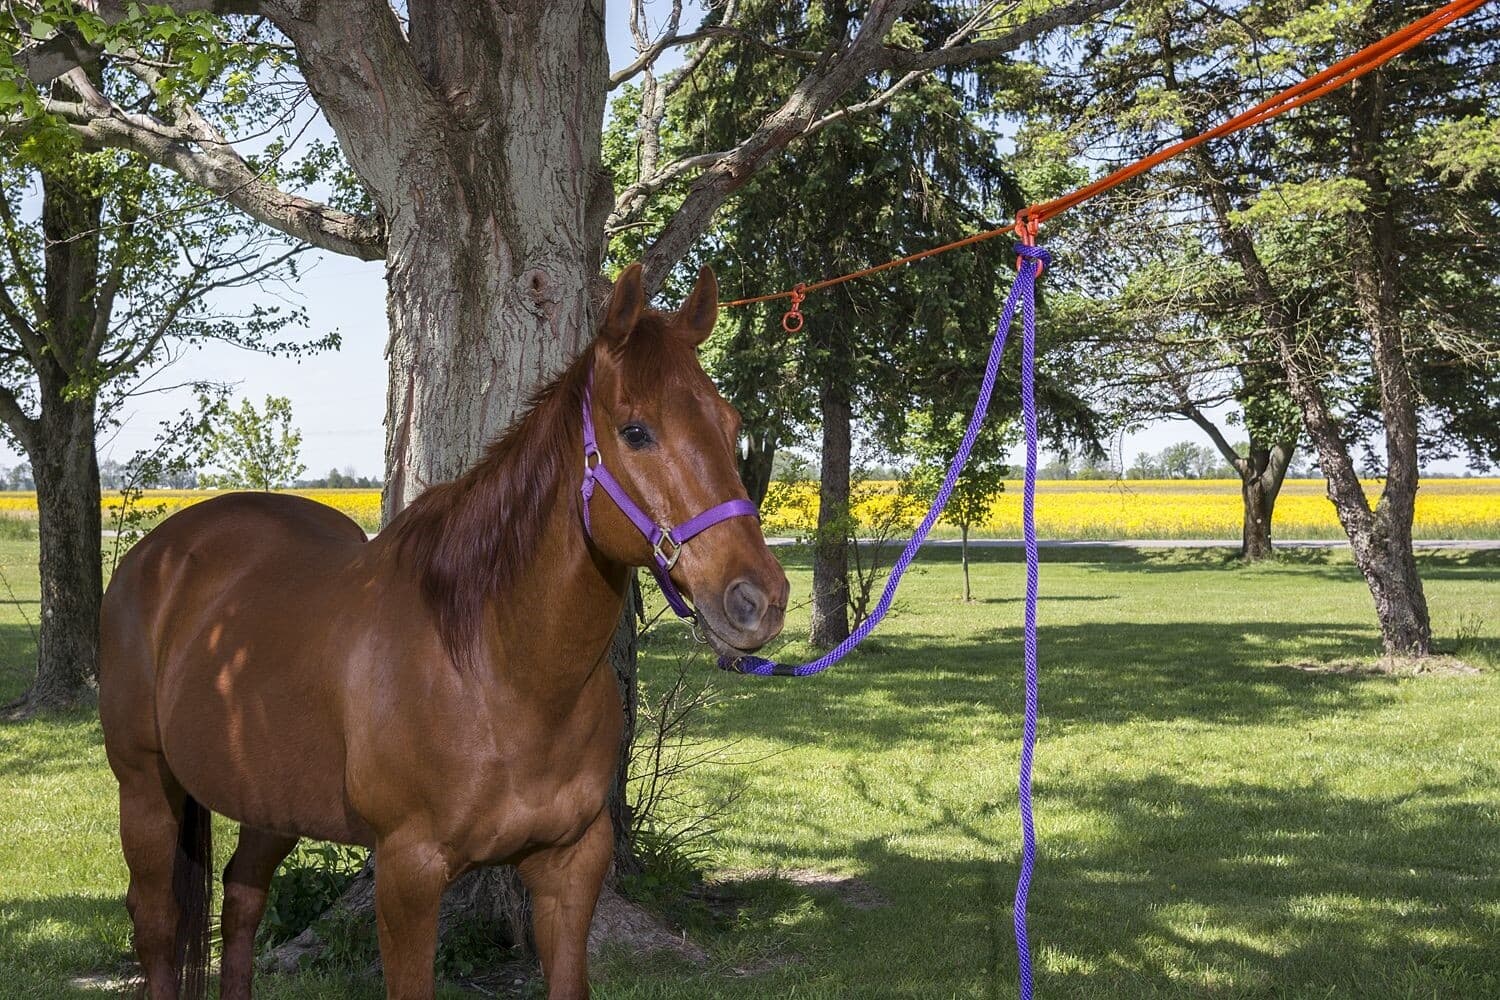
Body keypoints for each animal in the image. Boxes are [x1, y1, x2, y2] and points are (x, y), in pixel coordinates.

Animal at [98, 263, 789, 1000]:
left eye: (729, 421)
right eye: (635, 431)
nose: (760, 599)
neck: (498, 670)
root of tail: (159, 553)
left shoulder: (571, 866)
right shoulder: (409, 873)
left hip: (267, 798)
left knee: (241, 898)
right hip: (144, 786)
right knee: (156, 922)